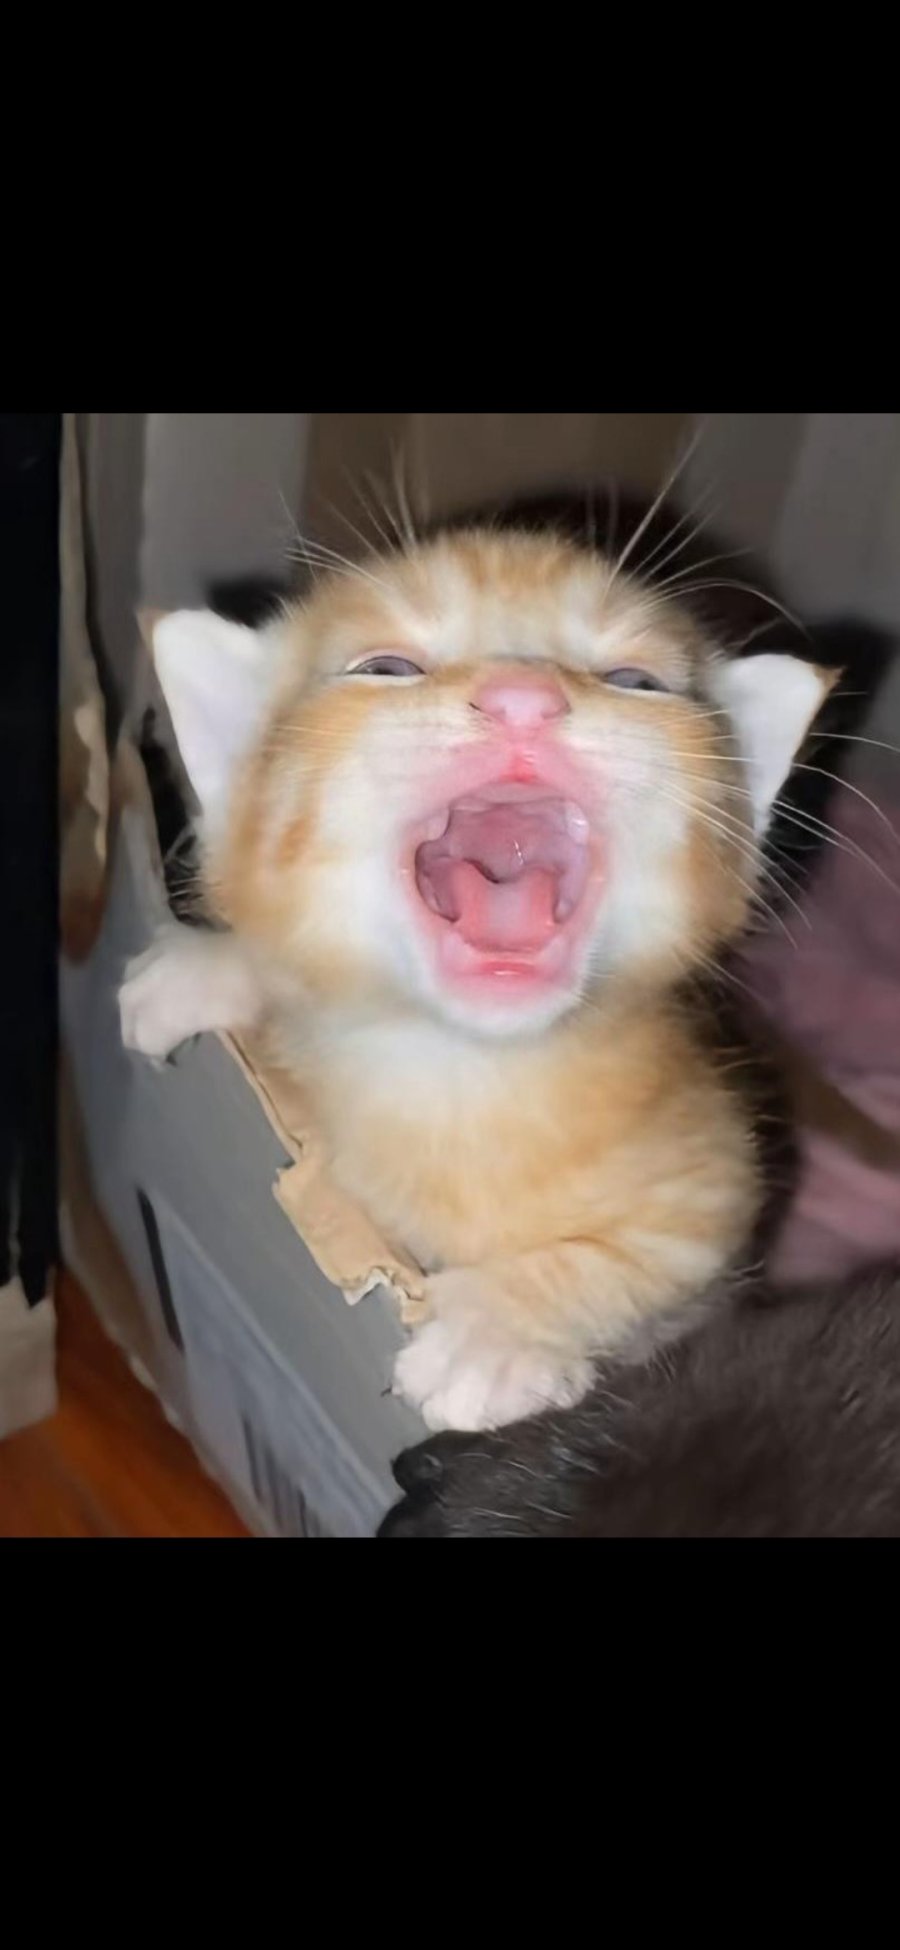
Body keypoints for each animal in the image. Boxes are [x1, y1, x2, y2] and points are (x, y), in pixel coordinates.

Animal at [119, 517, 834, 1432]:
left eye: (635, 681)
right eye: (387, 668)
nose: (523, 695)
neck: (464, 1075)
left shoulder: (718, 1182)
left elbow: (648, 1257)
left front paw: (499, 1332)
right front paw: (208, 970)